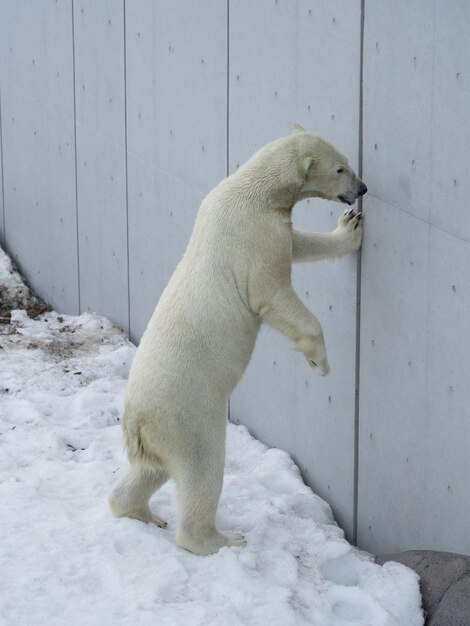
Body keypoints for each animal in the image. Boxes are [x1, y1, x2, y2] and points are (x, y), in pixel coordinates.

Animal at [109, 124, 368, 552]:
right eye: (340, 169)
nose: (362, 189)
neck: (255, 189)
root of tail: (136, 421)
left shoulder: (273, 224)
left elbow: (301, 243)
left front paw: (350, 227)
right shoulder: (255, 237)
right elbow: (273, 293)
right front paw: (319, 361)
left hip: (156, 437)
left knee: (148, 471)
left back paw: (141, 513)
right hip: (188, 416)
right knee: (203, 468)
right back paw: (221, 539)